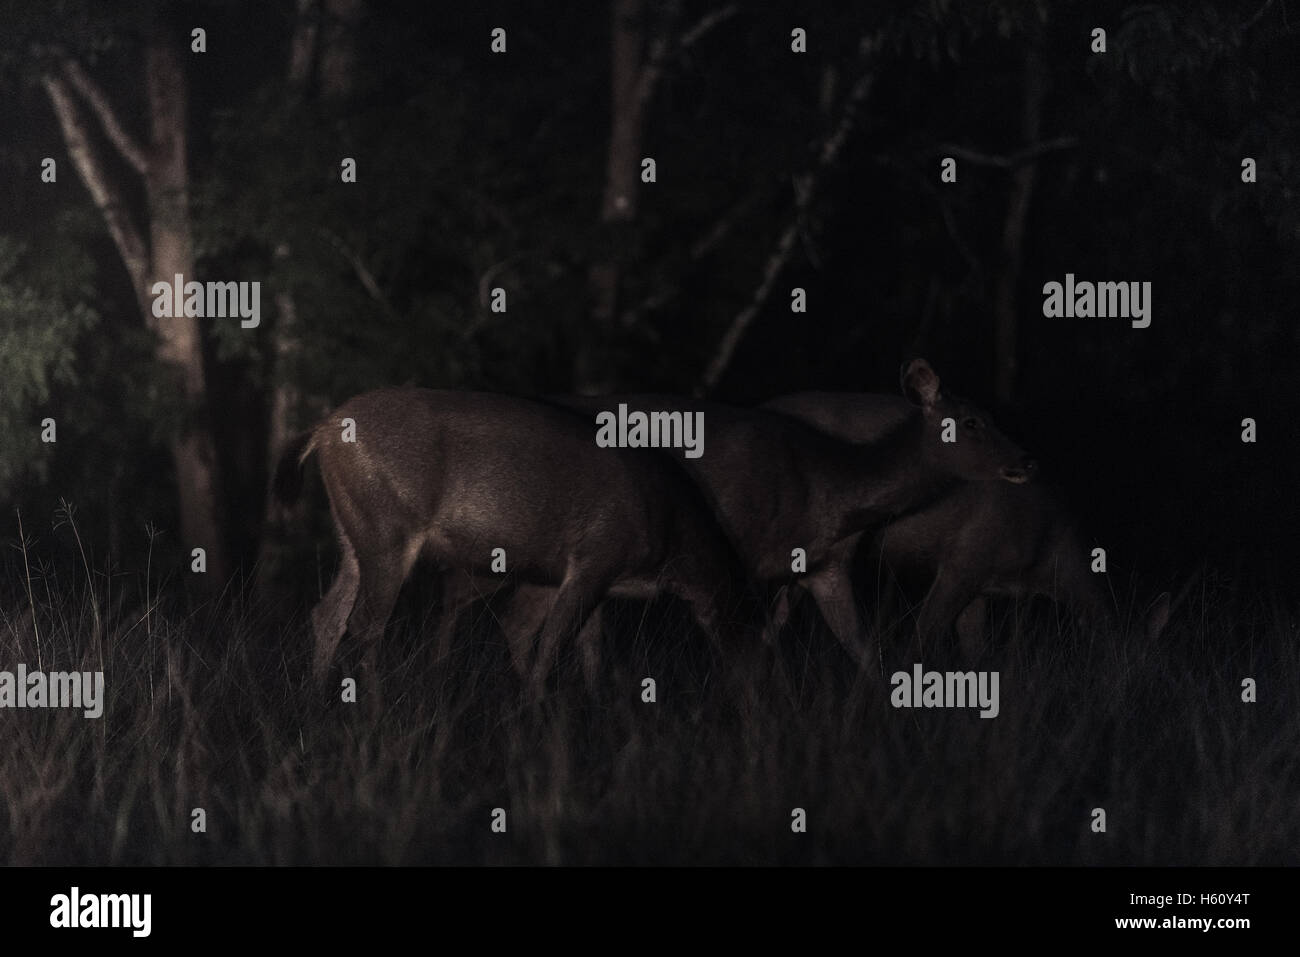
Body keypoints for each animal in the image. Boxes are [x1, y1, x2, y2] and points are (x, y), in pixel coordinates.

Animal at [273, 388, 759, 690]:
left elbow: (578, 643)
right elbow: (551, 642)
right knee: (365, 624)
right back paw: (370, 711)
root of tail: (323, 430)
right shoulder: (595, 556)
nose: (751, 687)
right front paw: (537, 707)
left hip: (355, 532)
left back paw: (316, 697)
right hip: (389, 528)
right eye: (745, 626)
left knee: (328, 614)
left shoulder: (565, 575)